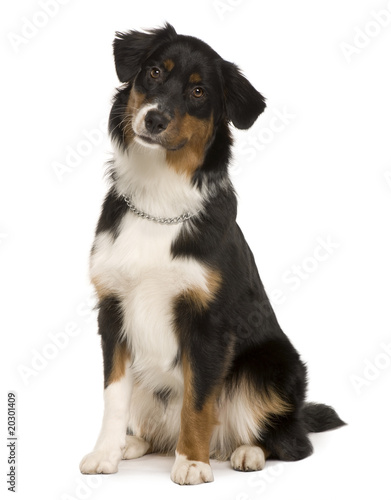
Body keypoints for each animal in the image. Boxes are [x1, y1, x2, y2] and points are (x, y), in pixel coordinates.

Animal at [80, 22, 346, 484]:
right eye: (154, 71)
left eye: (199, 91)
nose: (154, 118)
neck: (159, 198)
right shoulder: (113, 310)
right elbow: (114, 394)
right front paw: (105, 454)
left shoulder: (208, 323)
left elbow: (199, 398)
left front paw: (191, 462)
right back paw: (135, 444)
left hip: (269, 364)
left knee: (291, 441)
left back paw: (245, 452)